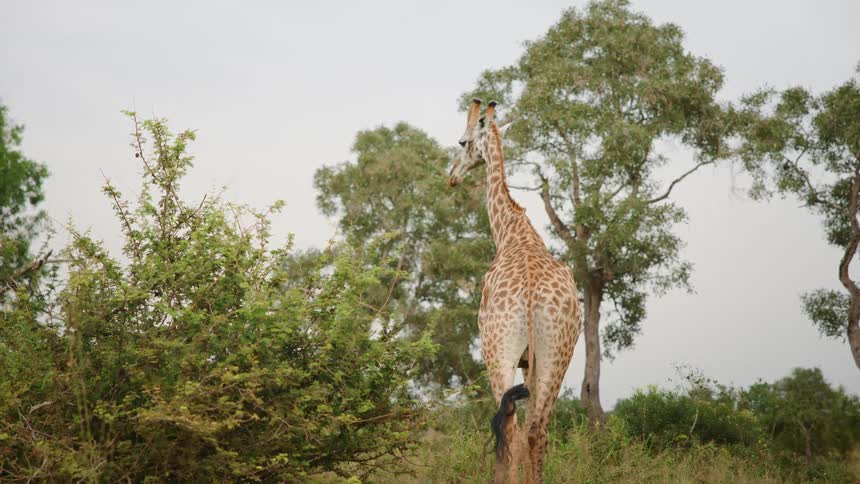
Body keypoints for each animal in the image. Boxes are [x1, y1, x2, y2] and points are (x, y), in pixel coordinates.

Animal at [448, 99, 581, 483]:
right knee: (537, 431)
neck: (510, 230)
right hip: (557, 354)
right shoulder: (529, 362)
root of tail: (532, 296)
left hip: (497, 352)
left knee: (510, 428)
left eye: (462, 141)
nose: (452, 175)